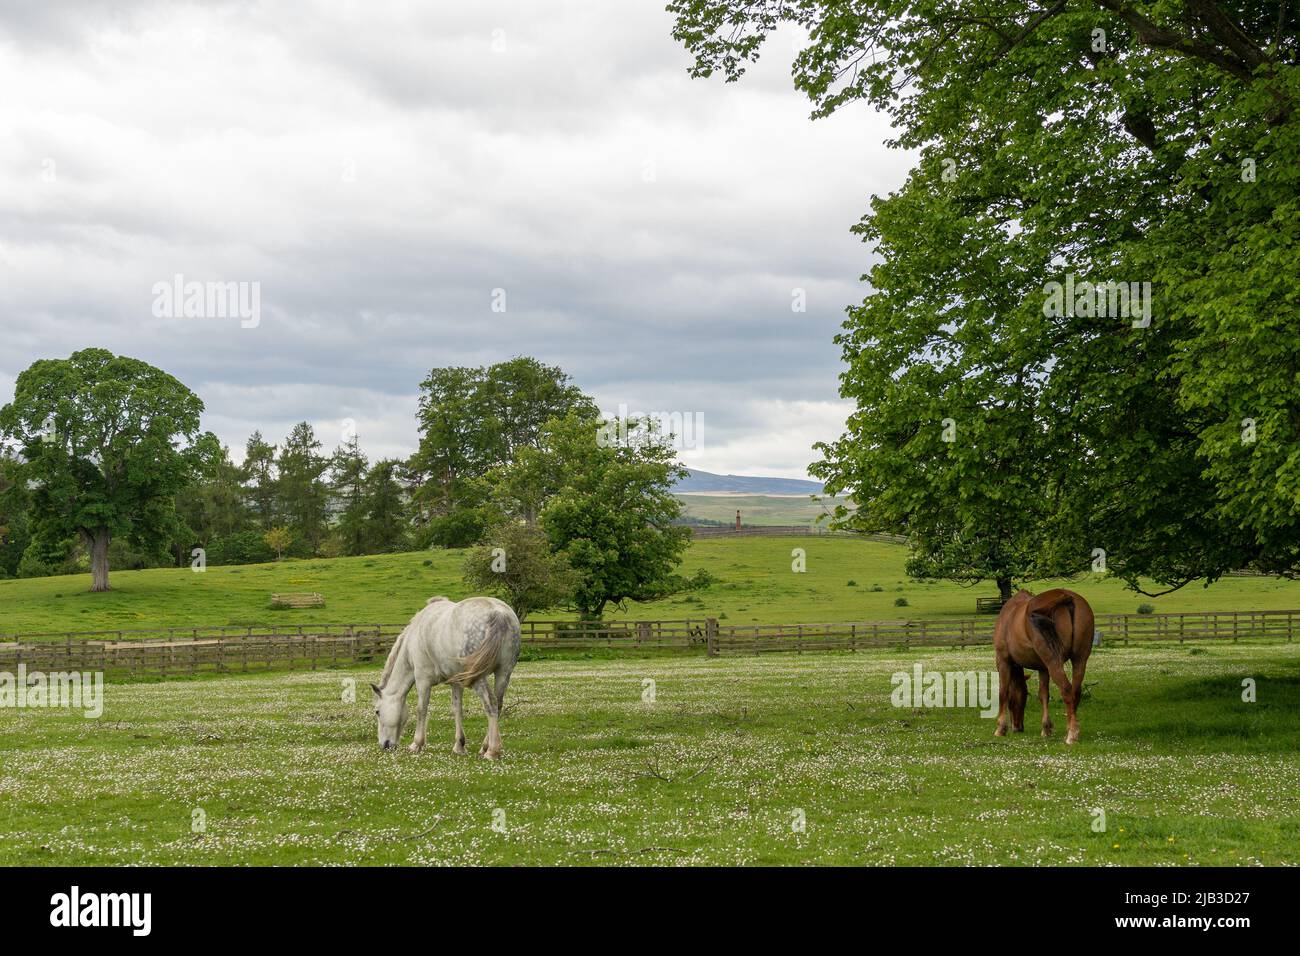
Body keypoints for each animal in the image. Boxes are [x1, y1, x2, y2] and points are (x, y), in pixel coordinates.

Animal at [369, 595, 520, 759]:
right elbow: (457, 709)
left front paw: (416, 744)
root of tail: (499, 614)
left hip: (479, 678)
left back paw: (492, 751)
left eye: (377, 712)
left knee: (490, 704)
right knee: (498, 705)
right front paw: (459, 746)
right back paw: (484, 747)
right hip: (503, 673)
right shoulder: (456, 682)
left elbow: (421, 709)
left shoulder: (422, 680)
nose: (384, 745)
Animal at [998, 587, 1092, 743]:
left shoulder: (1003, 661)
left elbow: (1003, 693)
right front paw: (1046, 729)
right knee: (1075, 692)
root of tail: (1065, 596)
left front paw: (1000, 728)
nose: (1018, 727)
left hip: (1054, 663)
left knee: (1067, 690)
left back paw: (1071, 734)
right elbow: (1043, 695)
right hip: (1080, 660)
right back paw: (1070, 729)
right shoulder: (1043, 668)